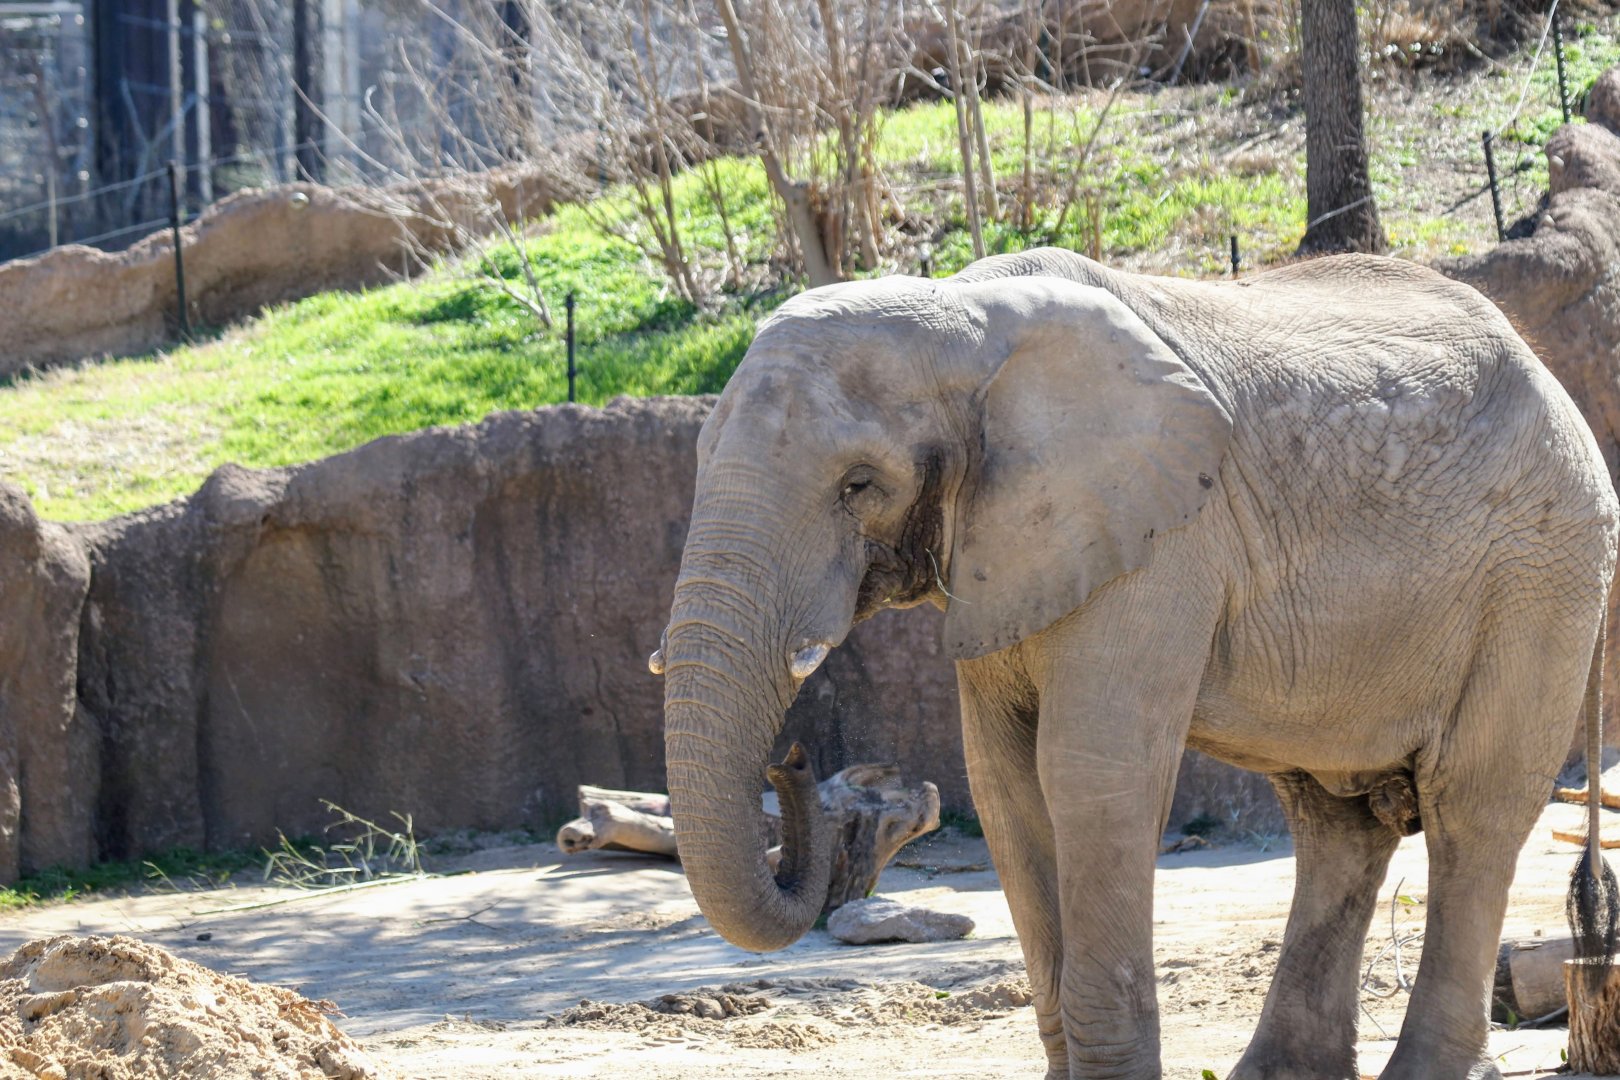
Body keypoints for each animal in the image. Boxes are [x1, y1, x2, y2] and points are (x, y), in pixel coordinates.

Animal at [651, 246, 1619, 1080]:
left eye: (858, 485)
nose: (791, 760)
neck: (963, 316)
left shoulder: (1161, 541)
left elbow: (1090, 772)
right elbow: (1004, 786)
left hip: (1542, 574)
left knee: (1470, 808)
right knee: (1337, 822)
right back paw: (1274, 1074)